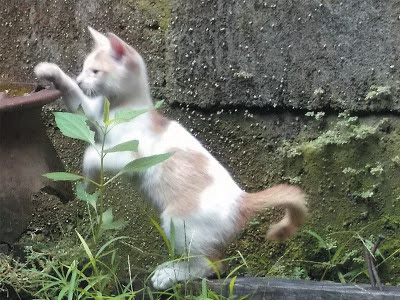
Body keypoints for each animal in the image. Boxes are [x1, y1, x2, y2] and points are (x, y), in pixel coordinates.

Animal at [36, 27, 308, 290]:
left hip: (179, 222)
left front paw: (88, 184)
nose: (81, 79)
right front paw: (49, 71)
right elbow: (77, 102)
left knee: (212, 265)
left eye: (95, 71)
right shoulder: (93, 115)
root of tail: (243, 200)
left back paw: (168, 274)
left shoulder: (129, 156)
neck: (120, 108)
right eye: (83, 69)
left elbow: (93, 154)